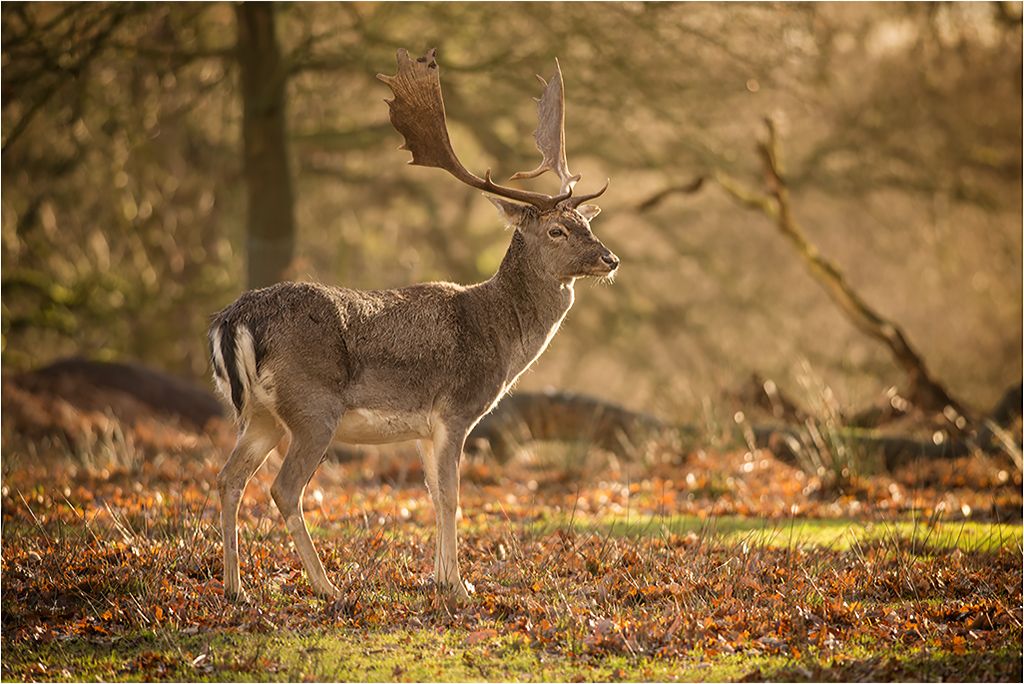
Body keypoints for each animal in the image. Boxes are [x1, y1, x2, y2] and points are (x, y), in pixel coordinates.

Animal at [209, 48, 614, 602]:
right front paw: (460, 587)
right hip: (312, 405)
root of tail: (235, 318)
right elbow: (453, 496)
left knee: (229, 478)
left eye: (588, 223)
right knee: (283, 488)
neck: (499, 336)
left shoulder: (424, 428)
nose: (610, 259)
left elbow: (433, 495)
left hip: (261, 414)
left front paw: (439, 578)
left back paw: (237, 588)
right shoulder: (456, 409)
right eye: (557, 230)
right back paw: (326, 586)